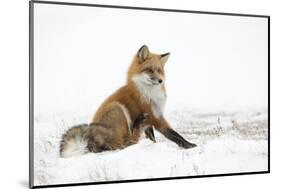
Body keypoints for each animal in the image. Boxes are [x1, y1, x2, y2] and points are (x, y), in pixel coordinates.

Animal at [59, 45, 195, 157]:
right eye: (150, 70)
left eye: (159, 70)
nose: (161, 81)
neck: (148, 93)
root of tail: (90, 141)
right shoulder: (155, 117)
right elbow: (174, 135)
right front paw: (190, 146)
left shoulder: (151, 119)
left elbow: (152, 137)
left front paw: (154, 145)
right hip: (117, 108)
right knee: (124, 144)